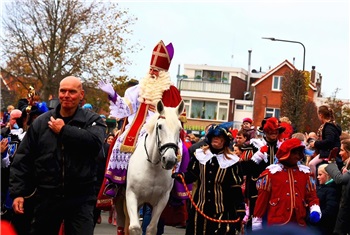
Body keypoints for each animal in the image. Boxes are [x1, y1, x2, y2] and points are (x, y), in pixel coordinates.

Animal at [126, 99, 186, 235]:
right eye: (160, 126)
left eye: (179, 129)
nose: (169, 160)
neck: (152, 166)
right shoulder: (131, 196)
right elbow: (134, 227)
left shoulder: (162, 200)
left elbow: (151, 228)